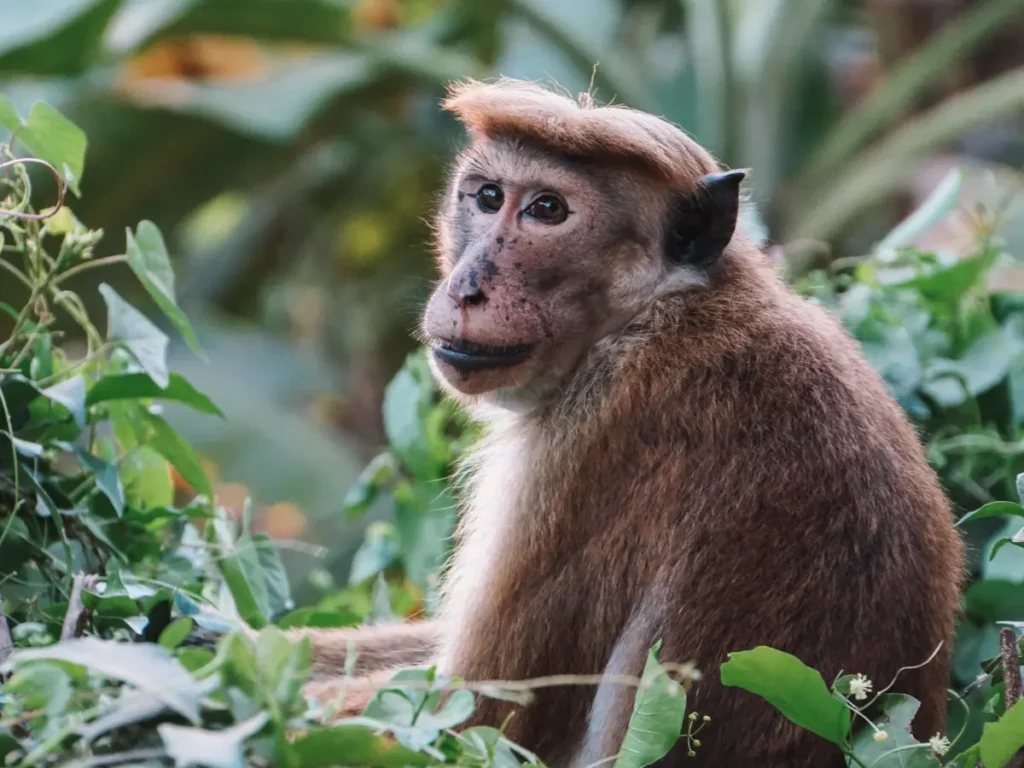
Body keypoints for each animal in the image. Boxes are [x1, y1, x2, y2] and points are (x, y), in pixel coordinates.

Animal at [287, 79, 965, 767]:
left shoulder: (590, 437)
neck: (655, 311)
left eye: (547, 210)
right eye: (488, 197)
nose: (466, 288)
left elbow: (472, 713)